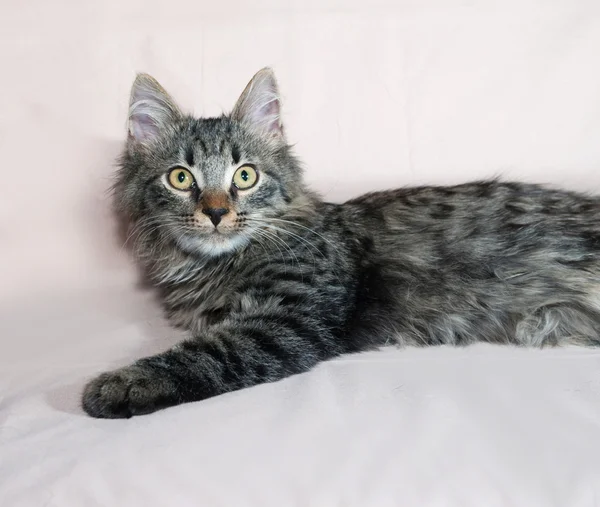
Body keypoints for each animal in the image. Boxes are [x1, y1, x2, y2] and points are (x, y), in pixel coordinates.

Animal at [82, 67, 600, 418]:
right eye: (180, 177)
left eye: (245, 176)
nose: (214, 212)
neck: (219, 264)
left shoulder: (292, 317)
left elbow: (205, 355)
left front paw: (120, 385)